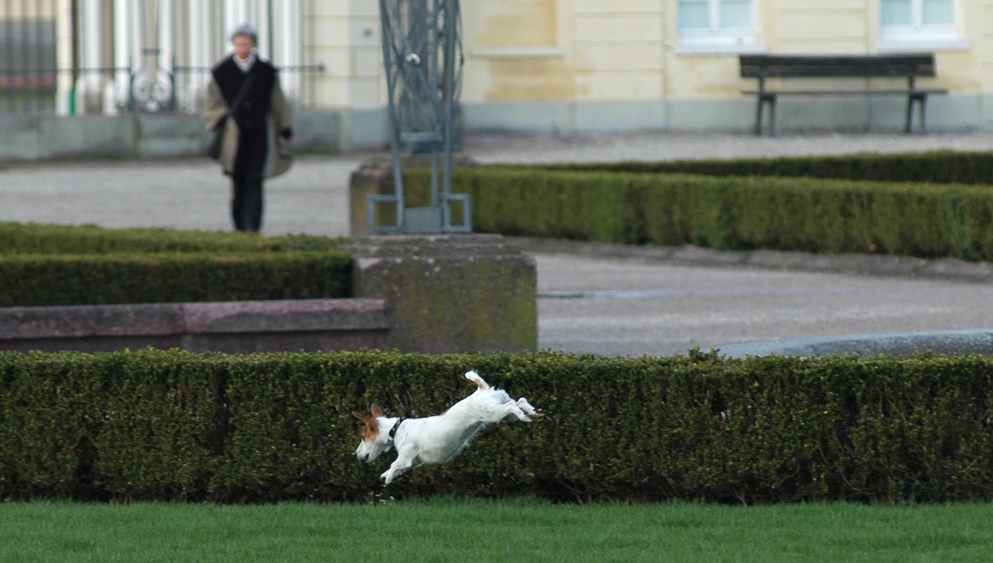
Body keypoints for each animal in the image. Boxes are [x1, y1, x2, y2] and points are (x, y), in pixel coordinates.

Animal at [352, 370, 540, 484]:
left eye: (363, 436)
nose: (355, 454)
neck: (396, 428)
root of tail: (482, 389)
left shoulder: (405, 458)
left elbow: (394, 465)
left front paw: (388, 477)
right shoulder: (413, 463)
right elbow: (398, 468)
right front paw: (386, 475)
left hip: (495, 413)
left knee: (512, 406)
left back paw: (527, 415)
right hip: (504, 413)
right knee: (519, 401)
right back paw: (533, 412)